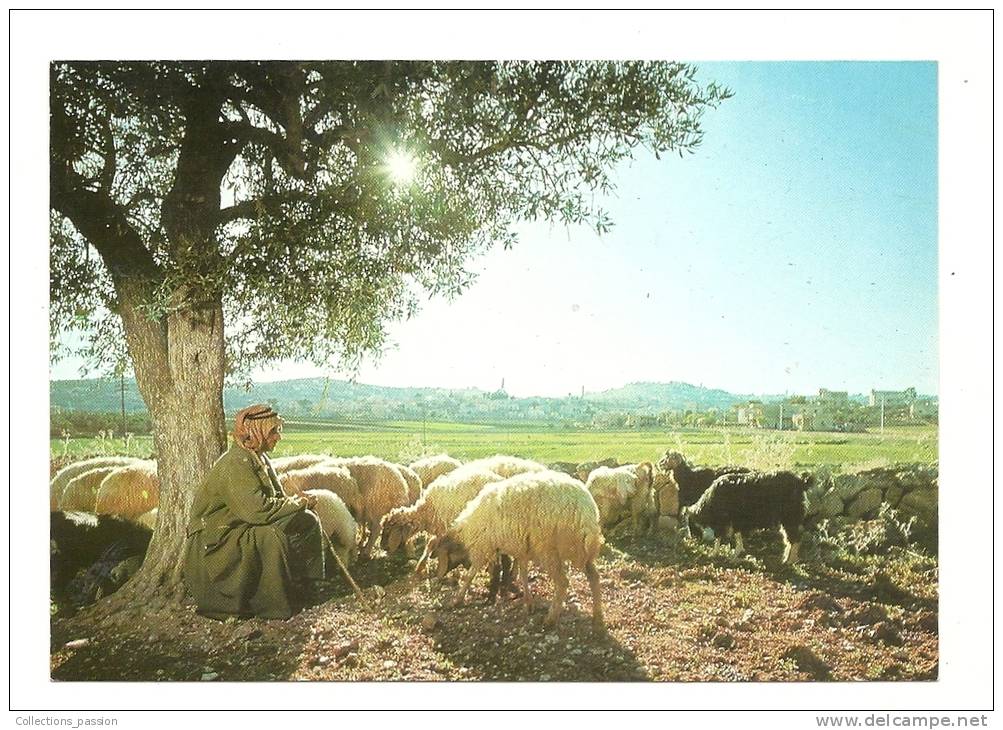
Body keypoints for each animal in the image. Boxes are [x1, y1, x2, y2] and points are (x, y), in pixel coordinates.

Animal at [417, 467, 601, 633]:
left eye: (440, 555)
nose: (438, 577)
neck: (465, 533)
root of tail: (585, 510)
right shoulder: (521, 549)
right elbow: (522, 574)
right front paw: (527, 602)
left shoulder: (483, 547)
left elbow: (471, 575)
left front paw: (458, 599)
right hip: (581, 552)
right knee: (594, 577)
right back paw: (597, 618)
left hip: (549, 549)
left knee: (562, 583)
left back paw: (551, 619)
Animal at [682, 467, 814, 565]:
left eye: (689, 524)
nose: (691, 539)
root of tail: (801, 481)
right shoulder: (735, 521)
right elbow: (735, 536)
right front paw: (730, 554)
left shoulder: (728, 520)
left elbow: (723, 537)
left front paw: (724, 555)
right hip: (788, 518)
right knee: (791, 538)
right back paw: (788, 559)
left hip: (790, 516)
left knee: (795, 538)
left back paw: (789, 561)